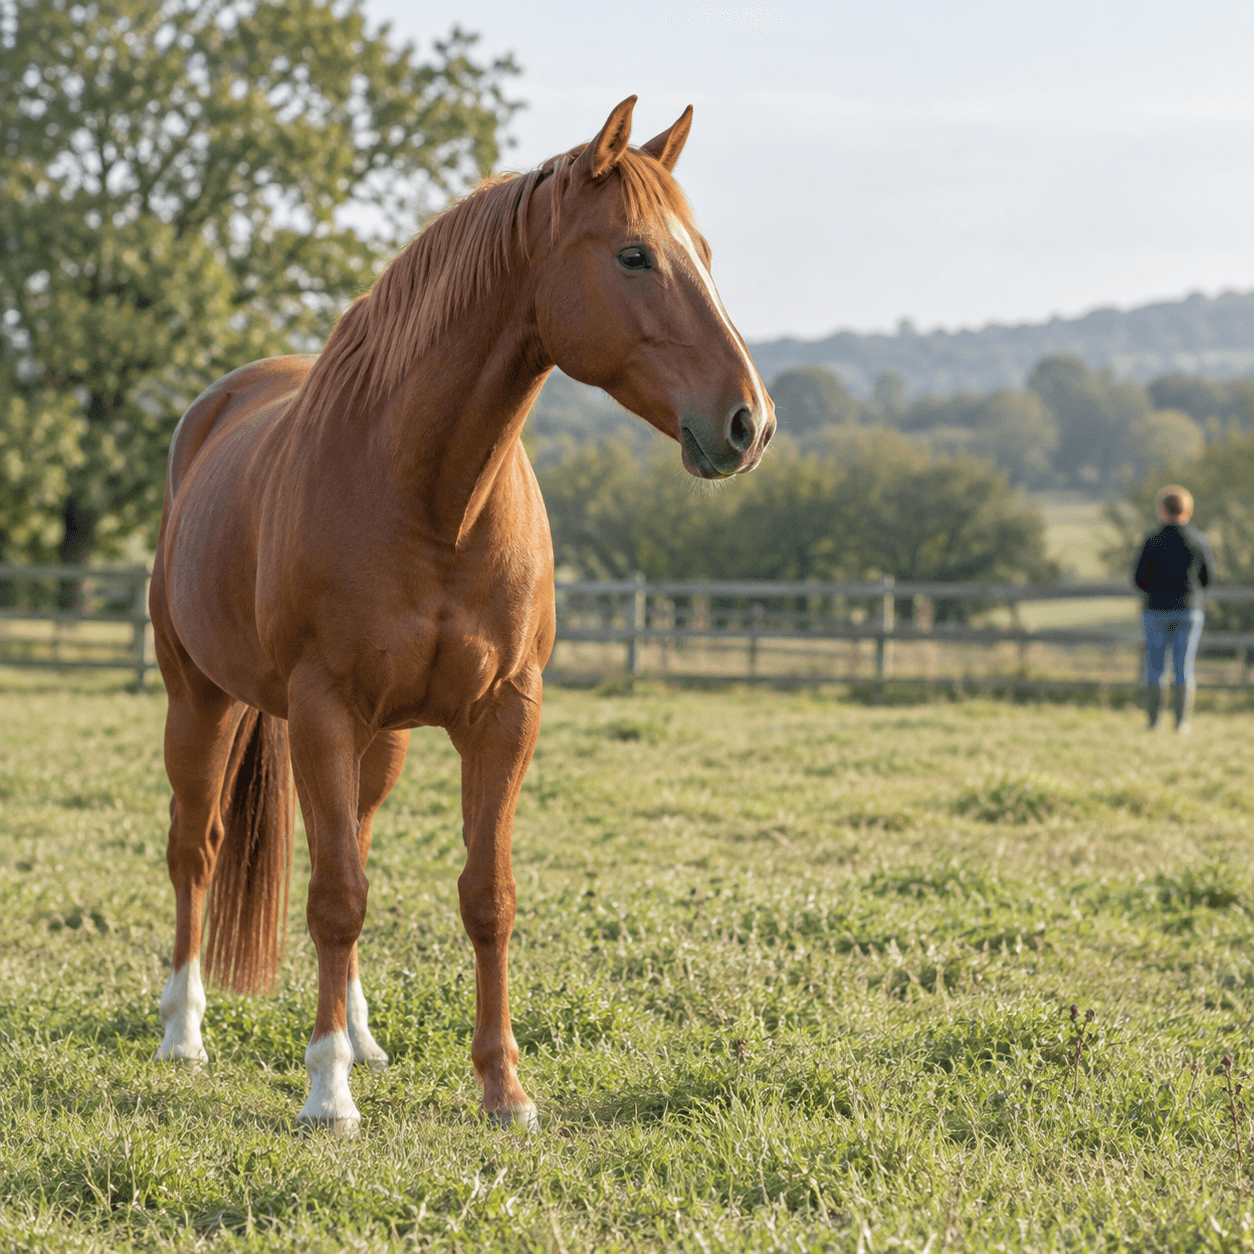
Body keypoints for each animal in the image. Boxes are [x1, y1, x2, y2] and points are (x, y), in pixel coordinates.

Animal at [151, 96, 775, 1134]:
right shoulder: (322, 708)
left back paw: (364, 1036)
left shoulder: (504, 713)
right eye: (634, 255)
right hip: (198, 700)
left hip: (382, 740)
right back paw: (184, 1033)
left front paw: (502, 1088)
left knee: (352, 841)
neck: (431, 495)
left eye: (707, 253)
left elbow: (486, 896)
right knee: (195, 851)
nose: (748, 423)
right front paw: (326, 1093)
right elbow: (334, 898)